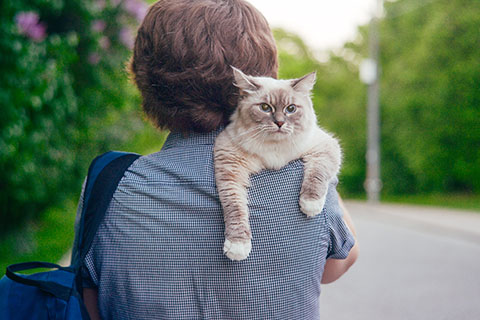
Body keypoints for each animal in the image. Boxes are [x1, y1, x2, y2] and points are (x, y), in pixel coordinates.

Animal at [214, 67, 342, 260]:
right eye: (265, 108)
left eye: (291, 109)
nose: (280, 123)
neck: (274, 148)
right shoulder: (230, 169)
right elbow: (235, 209)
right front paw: (238, 247)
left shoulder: (323, 146)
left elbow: (317, 175)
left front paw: (310, 205)